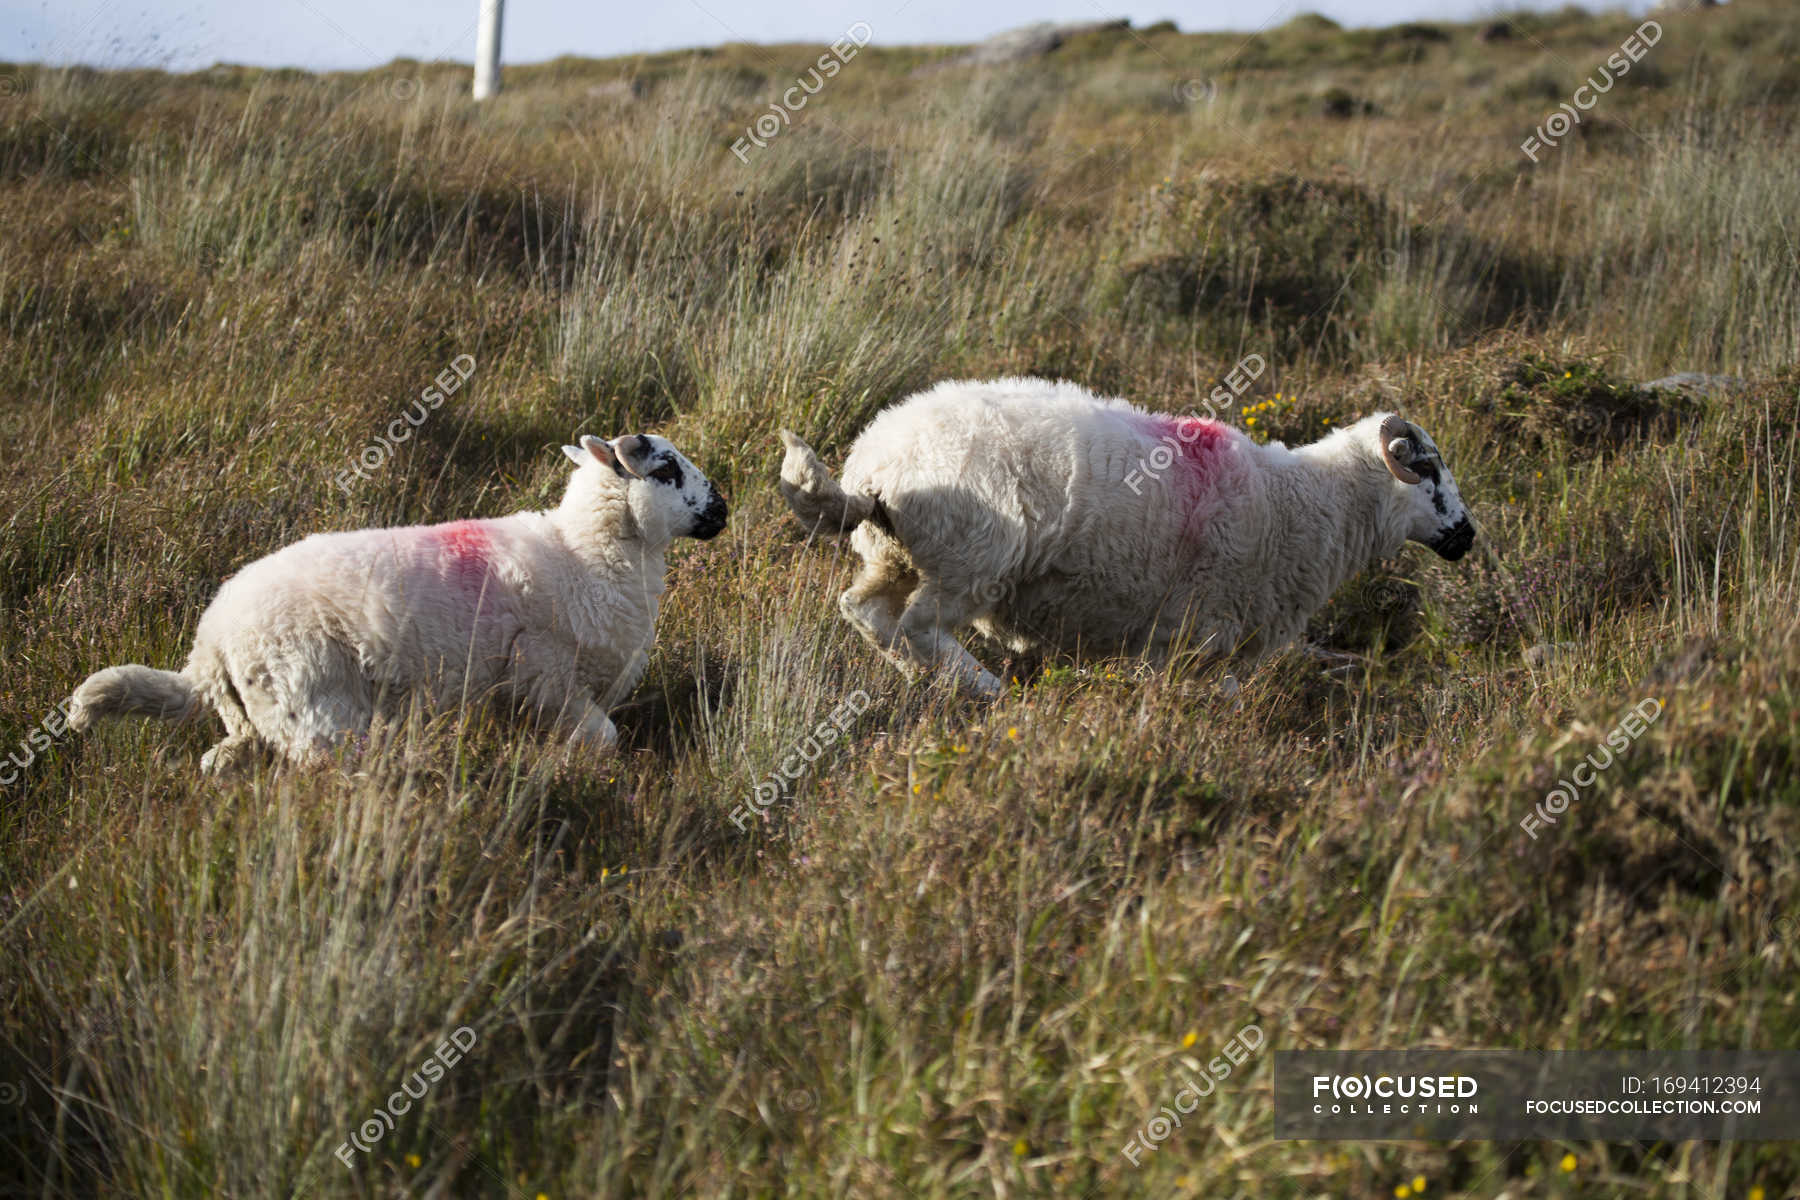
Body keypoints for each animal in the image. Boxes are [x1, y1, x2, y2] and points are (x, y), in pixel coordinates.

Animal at [70, 433, 727, 774]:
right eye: (666, 469)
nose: (723, 510)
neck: (583, 553)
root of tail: (208, 645)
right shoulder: (548, 674)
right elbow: (605, 737)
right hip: (316, 705)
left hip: (256, 716)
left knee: (222, 758)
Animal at [778, 376, 1474, 696]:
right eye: (1430, 471)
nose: (1467, 536)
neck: (1304, 503)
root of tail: (873, 468)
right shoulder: (1200, 627)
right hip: (971, 558)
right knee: (922, 625)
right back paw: (986, 689)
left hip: (894, 556)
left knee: (866, 612)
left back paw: (920, 677)